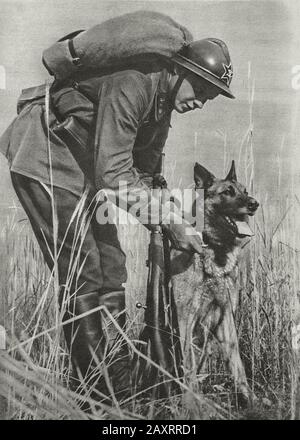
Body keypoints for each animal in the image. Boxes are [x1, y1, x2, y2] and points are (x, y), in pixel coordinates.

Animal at [170, 161, 258, 402]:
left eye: (245, 191)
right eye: (227, 192)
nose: (254, 204)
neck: (216, 250)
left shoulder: (226, 316)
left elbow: (237, 364)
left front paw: (251, 400)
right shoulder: (185, 318)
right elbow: (189, 365)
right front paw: (193, 404)